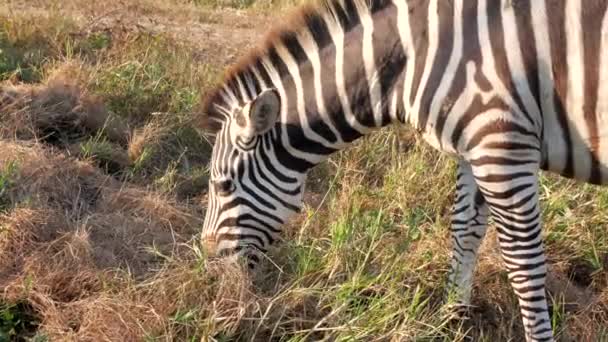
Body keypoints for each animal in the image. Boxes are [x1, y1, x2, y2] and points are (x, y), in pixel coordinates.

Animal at [200, 0, 608, 340]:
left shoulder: (501, 144)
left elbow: (524, 266)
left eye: (223, 186)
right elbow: (464, 232)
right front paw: (450, 321)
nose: (210, 268)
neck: (413, 60)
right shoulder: (472, 149)